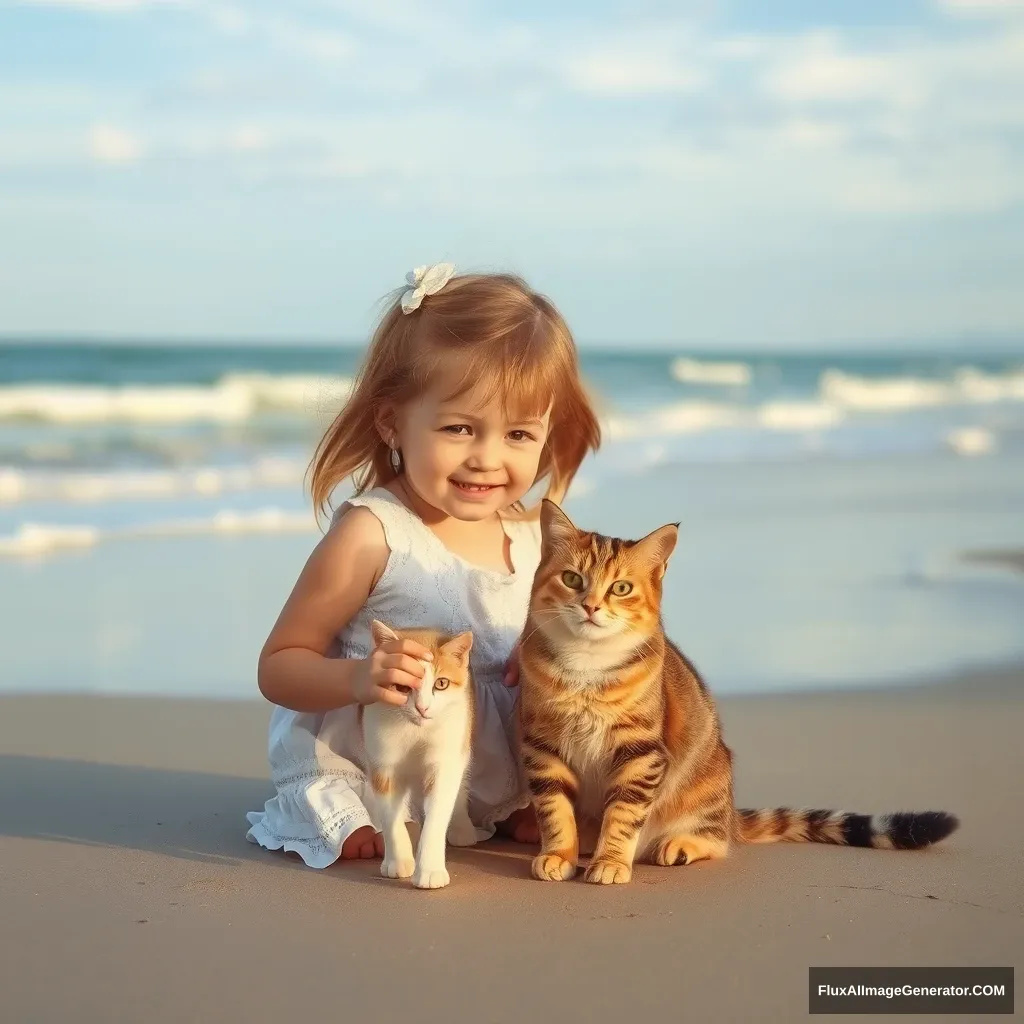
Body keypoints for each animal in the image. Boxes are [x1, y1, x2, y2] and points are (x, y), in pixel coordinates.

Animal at [364, 614, 479, 888]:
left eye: (441, 683)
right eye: (403, 687)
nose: (422, 708)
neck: (415, 730)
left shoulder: (445, 758)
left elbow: (438, 811)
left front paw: (429, 870)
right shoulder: (383, 762)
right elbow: (389, 813)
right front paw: (398, 861)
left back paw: (462, 828)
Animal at [520, 499, 958, 884]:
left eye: (621, 588)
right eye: (572, 579)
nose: (591, 606)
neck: (586, 667)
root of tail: (732, 813)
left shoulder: (640, 752)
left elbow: (624, 816)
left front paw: (611, 861)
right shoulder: (542, 744)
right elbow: (555, 811)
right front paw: (558, 854)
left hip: (702, 786)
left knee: (718, 840)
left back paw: (677, 845)